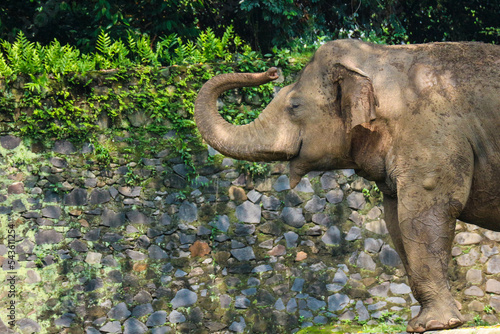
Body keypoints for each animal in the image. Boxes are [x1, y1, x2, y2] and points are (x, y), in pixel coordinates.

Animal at [192, 40, 500, 332]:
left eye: (294, 106)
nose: (272, 71)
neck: (382, 57)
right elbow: (395, 222)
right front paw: (426, 322)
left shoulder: (432, 137)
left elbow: (426, 214)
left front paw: (434, 325)